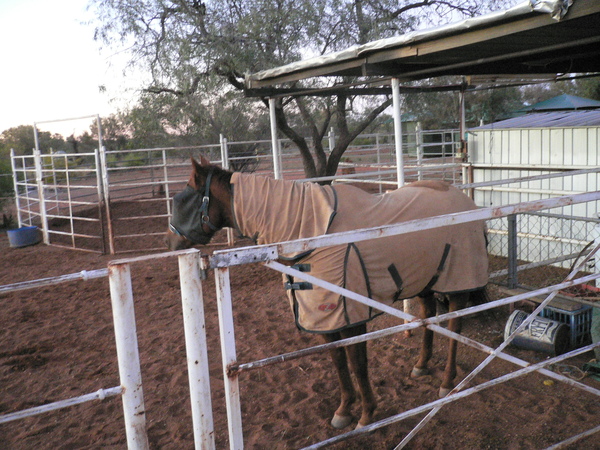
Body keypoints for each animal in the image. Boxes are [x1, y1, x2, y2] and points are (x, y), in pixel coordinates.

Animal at [165, 156, 488, 430]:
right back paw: (421, 365)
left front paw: (367, 414)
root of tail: (467, 201)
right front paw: (344, 411)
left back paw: (447, 381)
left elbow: (357, 364)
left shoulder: (351, 317)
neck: (311, 234)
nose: (171, 243)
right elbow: (338, 362)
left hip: (456, 282)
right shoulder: (324, 320)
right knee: (429, 318)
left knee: (454, 324)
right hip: (425, 281)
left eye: (182, 198)